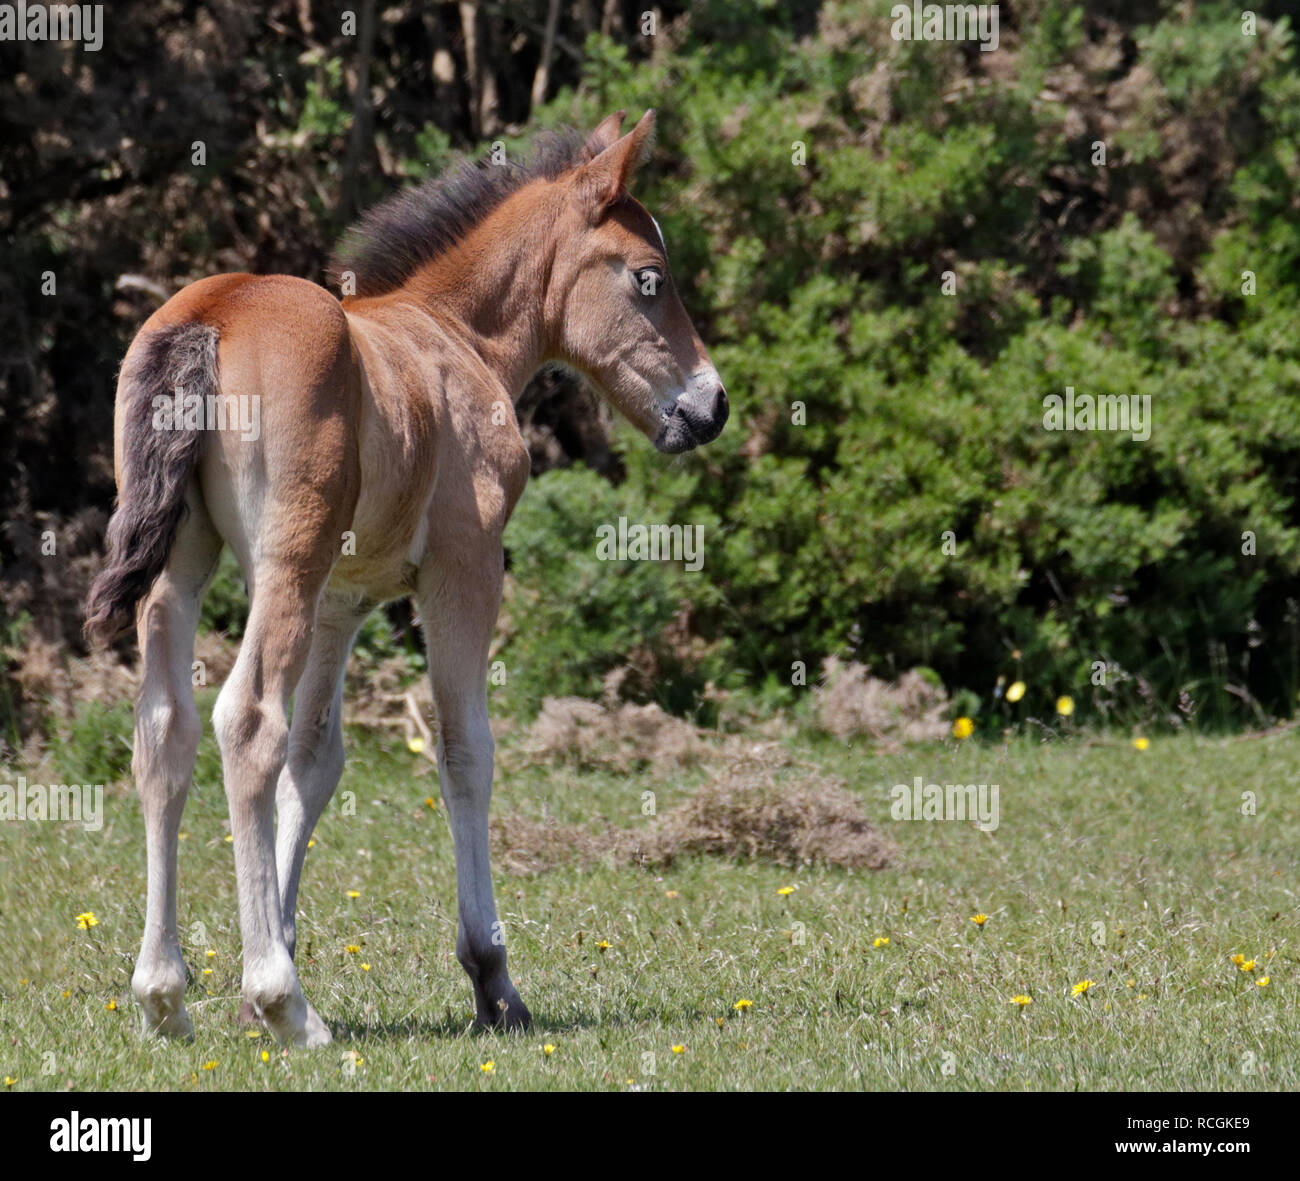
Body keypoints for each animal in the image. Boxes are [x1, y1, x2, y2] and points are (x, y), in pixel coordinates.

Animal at [84, 109, 728, 1047]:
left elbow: (314, 761)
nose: (711, 406)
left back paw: (166, 995)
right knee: (245, 719)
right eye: (650, 278)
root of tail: (212, 313)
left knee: (166, 728)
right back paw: (287, 1003)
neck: (455, 334)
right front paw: (492, 979)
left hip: (186, 565)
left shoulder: (342, 600)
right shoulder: (465, 566)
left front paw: (263, 958)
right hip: (286, 558)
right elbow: (466, 749)